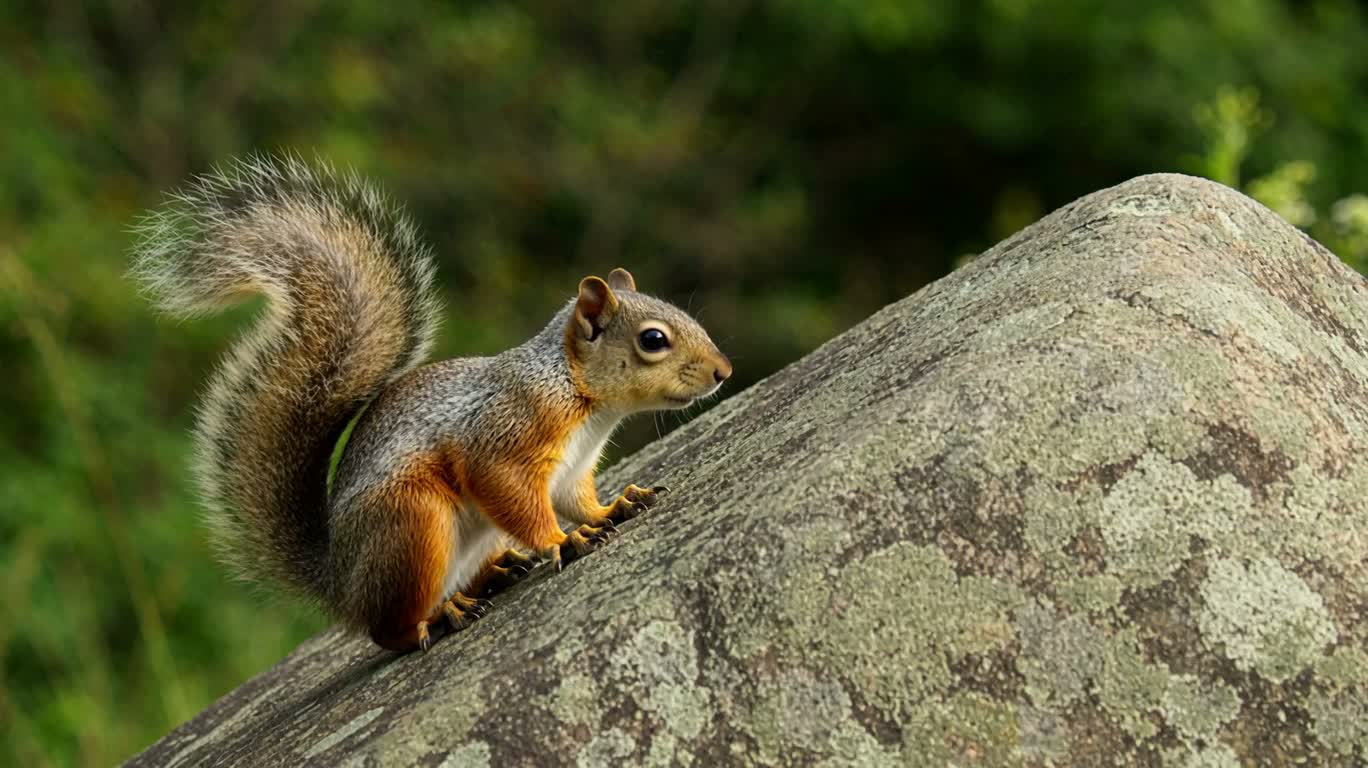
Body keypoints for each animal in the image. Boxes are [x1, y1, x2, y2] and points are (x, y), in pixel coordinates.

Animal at [132, 156, 732, 652]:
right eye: (653, 339)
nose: (724, 371)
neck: (578, 395)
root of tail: (342, 584)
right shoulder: (503, 440)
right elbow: (518, 499)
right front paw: (566, 540)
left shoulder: (570, 469)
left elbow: (578, 500)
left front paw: (613, 509)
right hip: (414, 524)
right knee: (389, 631)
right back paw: (439, 618)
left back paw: (495, 573)